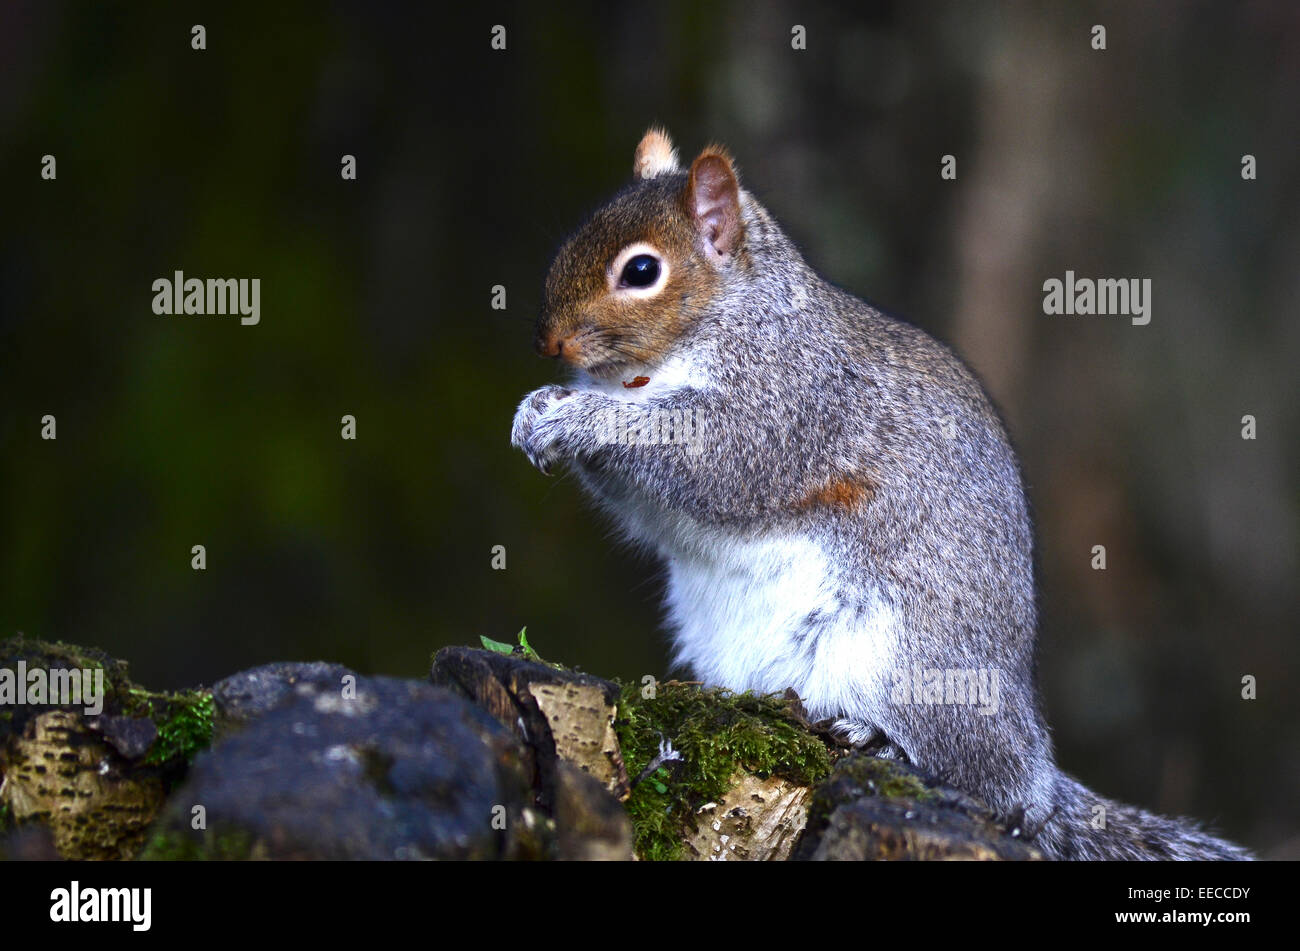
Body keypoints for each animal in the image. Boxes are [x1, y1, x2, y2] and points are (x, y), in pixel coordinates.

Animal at [509, 127, 1248, 862]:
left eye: (641, 272)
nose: (546, 341)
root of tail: (1037, 761)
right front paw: (538, 410)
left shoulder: (790, 400)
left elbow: (715, 458)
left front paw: (579, 417)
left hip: (907, 661)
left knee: (988, 781)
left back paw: (883, 739)